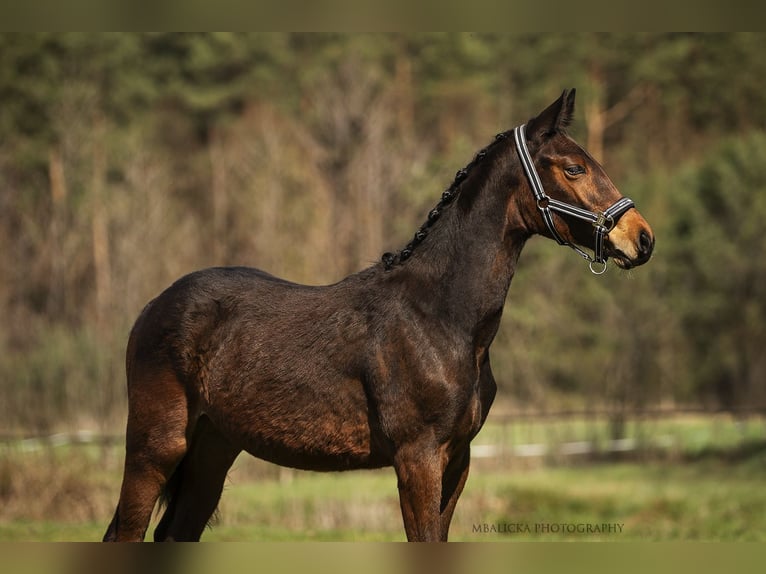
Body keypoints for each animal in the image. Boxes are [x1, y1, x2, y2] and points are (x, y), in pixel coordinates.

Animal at [102, 91, 656, 544]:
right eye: (573, 168)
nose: (641, 238)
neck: (441, 318)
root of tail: (152, 307)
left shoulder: (457, 459)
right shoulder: (417, 458)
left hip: (213, 451)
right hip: (156, 448)